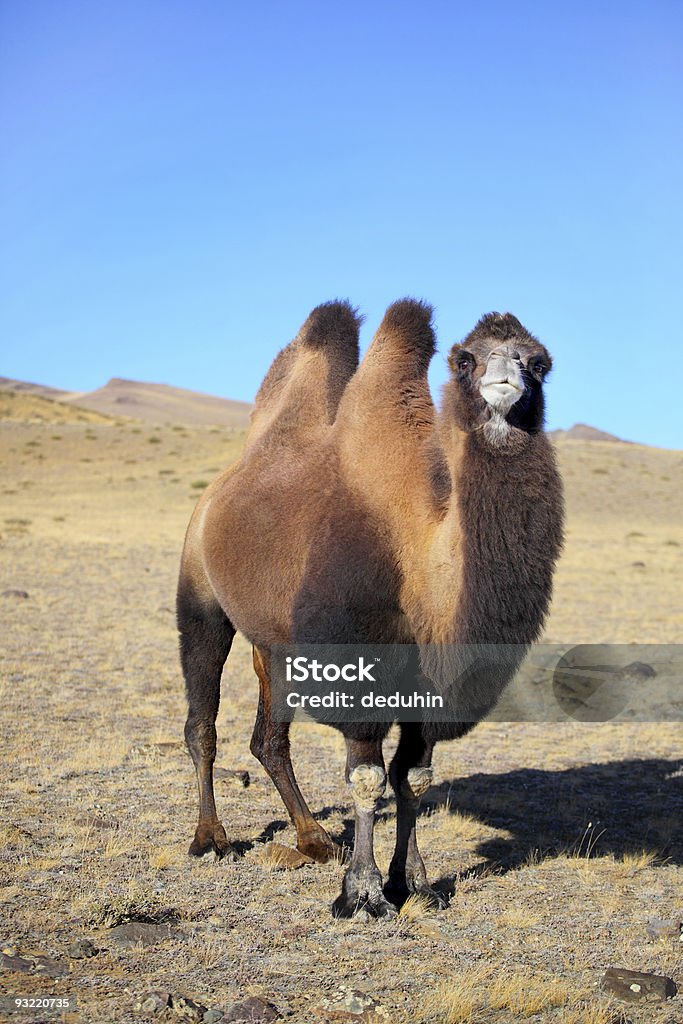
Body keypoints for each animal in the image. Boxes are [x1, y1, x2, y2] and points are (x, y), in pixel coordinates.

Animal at [178, 299, 565, 921]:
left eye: (539, 362)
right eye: (465, 359)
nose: (508, 378)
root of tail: (225, 485)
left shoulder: (429, 689)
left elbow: (416, 779)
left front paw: (416, 883)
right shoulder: (358, 668)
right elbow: (366, 777)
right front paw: (361, 894)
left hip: (276, 641)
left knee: (269, 739)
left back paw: (313, 838)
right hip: (199, 592)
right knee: (202, 721)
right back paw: (210, 838)